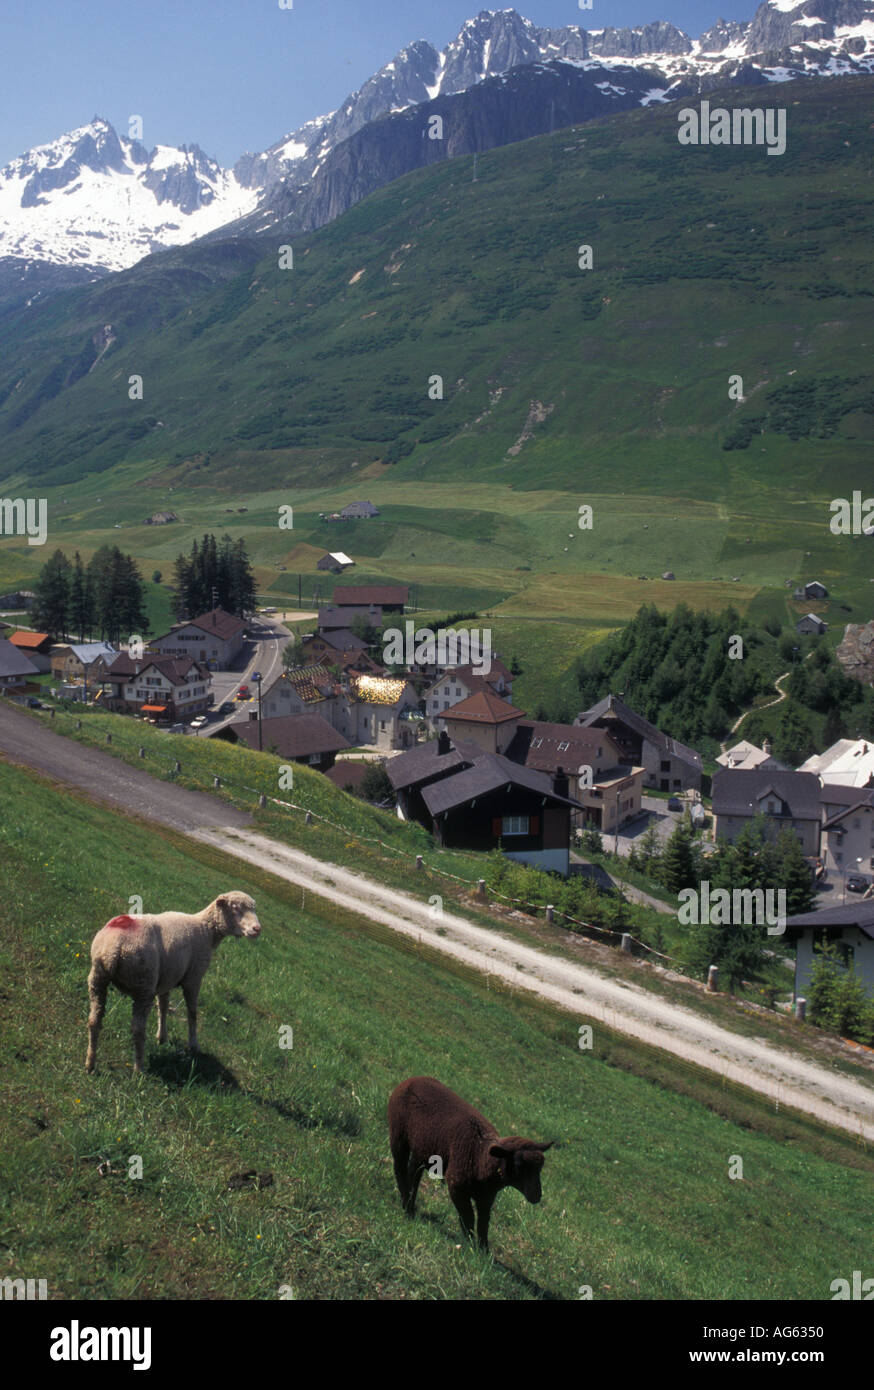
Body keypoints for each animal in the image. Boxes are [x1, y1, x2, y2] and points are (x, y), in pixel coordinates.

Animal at [84, 889, 262, 1073]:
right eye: (235, 908)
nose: (257, 929)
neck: (206, 930)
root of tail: (114, 948)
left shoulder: (166, 980)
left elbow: (163, 1007)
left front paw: (162, 1037)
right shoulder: (193, 979)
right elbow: (192, 1012)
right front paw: (193, 1045)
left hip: (98, 979)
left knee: (94, 1020)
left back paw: (90, 1063)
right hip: (143, 984)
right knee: (138, 1029)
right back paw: (138, 1068)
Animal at [386, 1067, 547, 1256]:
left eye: (540, 1169)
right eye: (519, 1165)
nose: (536, 1196)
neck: (480, 1156)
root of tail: (413, 1079)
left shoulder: (486, 1197)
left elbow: (484, 1223)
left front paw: (484, 1251)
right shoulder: (457, 1186)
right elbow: (468, 1217)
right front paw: (469, 1245)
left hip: (423, 1147)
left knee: (413, 1172)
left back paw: (410, 1205)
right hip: (398, 1133)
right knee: (399, 1167)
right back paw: (406, 1206)